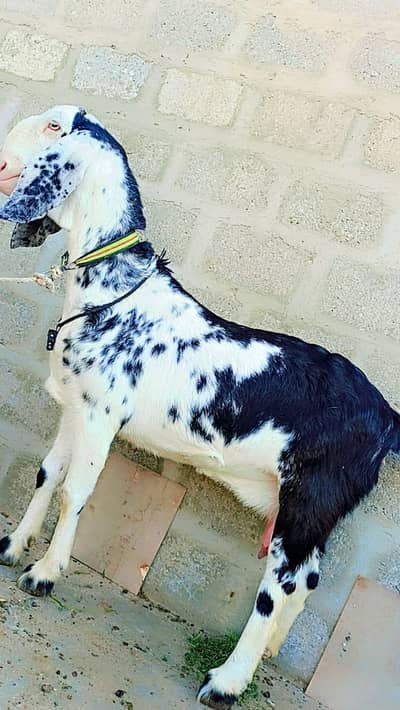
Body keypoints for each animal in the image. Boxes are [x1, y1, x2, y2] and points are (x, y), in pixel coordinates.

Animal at [0, 106, 399, 708]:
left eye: (51, 126)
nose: (1, 164)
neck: (115, 293)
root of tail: (387, 420)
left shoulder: (99, 416)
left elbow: (76, 492)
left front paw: (44, 573)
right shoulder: (75, 404)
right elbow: (48, 474)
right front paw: (12, 546)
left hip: (310, 497)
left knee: (281, 582)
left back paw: (227, 682)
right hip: (316, 510)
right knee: (306, 579)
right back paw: (267, 654)